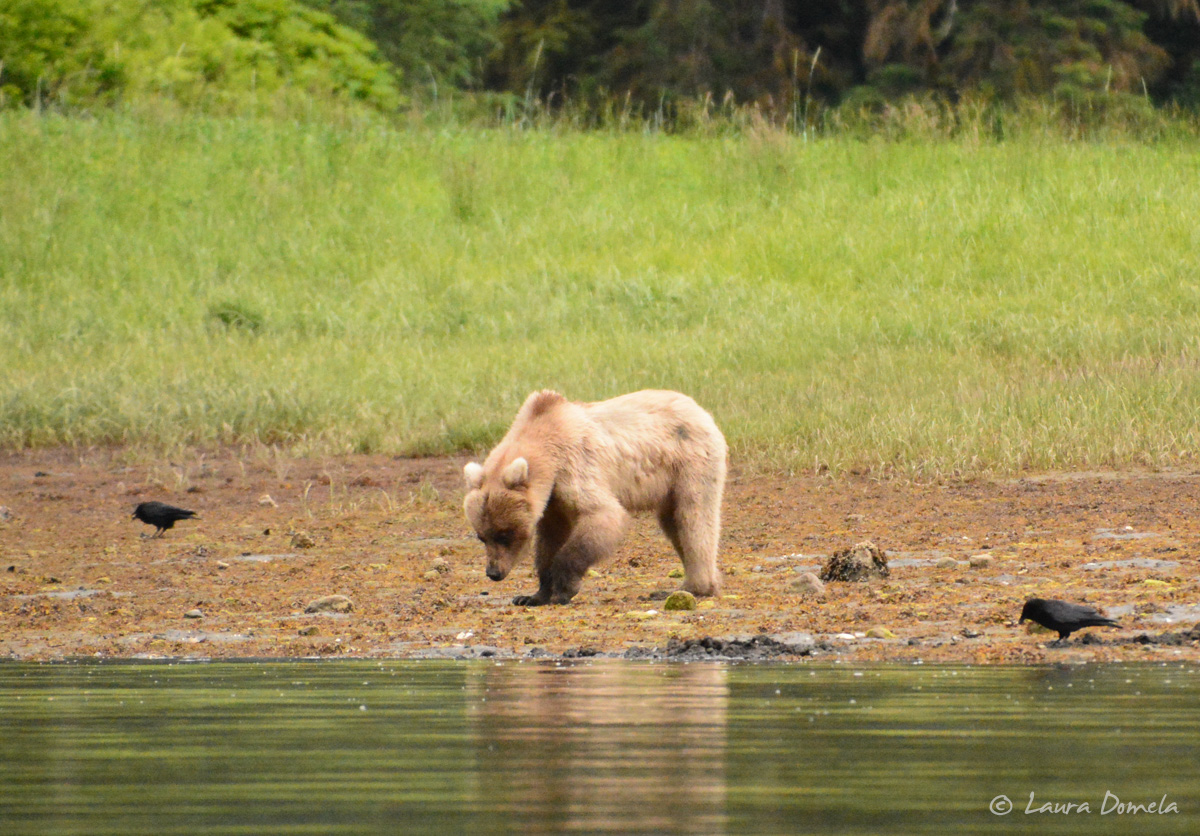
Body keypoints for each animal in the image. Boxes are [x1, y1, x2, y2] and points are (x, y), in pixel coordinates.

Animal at [460, 388, 720, 602]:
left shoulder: (575, 467)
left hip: (690, 463)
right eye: (481, 536)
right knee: (673, 523)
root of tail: (699, 409)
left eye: (505, 534)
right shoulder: (552, 499)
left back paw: (691, 588)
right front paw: (533, 595)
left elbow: (602, 514)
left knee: (693, 519)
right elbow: (551, 538)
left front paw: (564, 589)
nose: (493, 572)